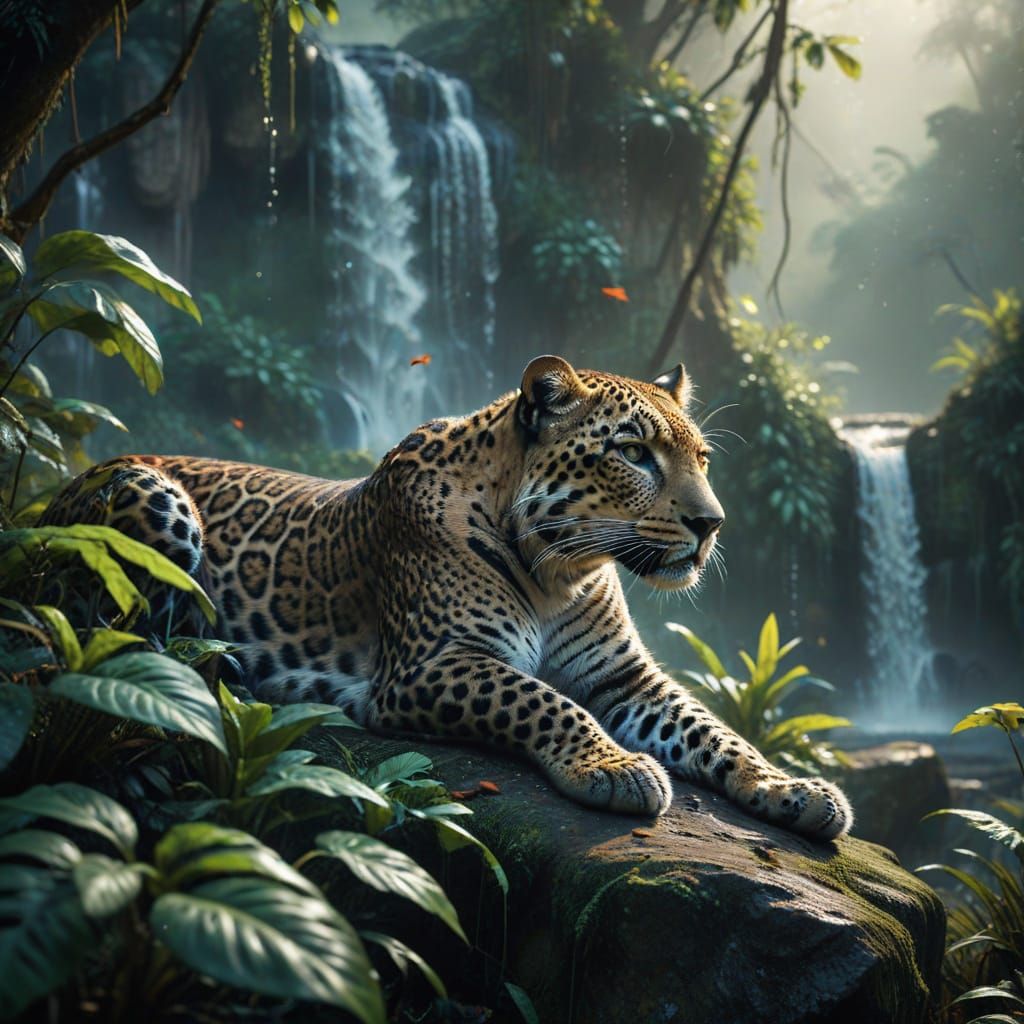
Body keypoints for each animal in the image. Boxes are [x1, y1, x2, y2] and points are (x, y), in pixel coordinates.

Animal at [43, 355, 852, 839]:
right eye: (632, 453)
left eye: (701, 458)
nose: (712, 524)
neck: (565, 571)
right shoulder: (429, 665)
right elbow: (545, 700)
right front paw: (612, 766)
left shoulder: (625, 678)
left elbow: (715, 730)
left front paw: (793, 787)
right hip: (150, 497)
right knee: (129, 650)